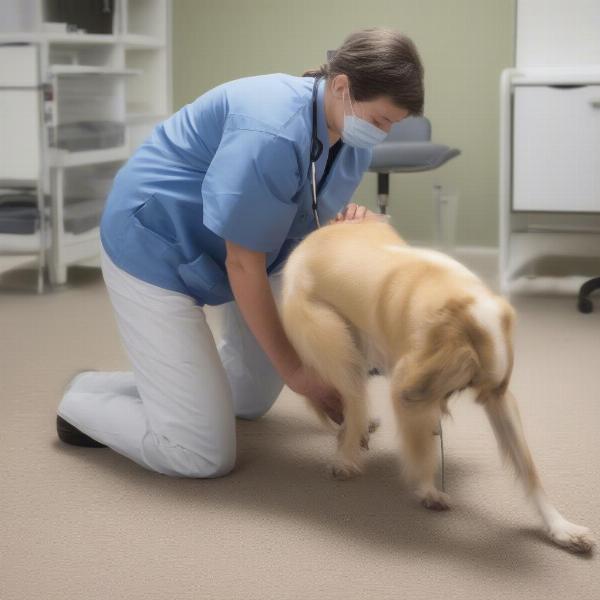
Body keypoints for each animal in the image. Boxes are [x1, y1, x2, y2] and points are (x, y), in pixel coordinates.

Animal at [278, 219, 592, 552]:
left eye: (488, 390)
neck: (454, 305)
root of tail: (309, 238)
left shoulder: (498, 396)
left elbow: (529, 469)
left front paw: (560, 527)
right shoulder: (408, 388)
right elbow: (422, 451)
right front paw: (428, 491)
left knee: (354, 405)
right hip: (335, 344)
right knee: (352, 397)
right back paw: (346, 457)